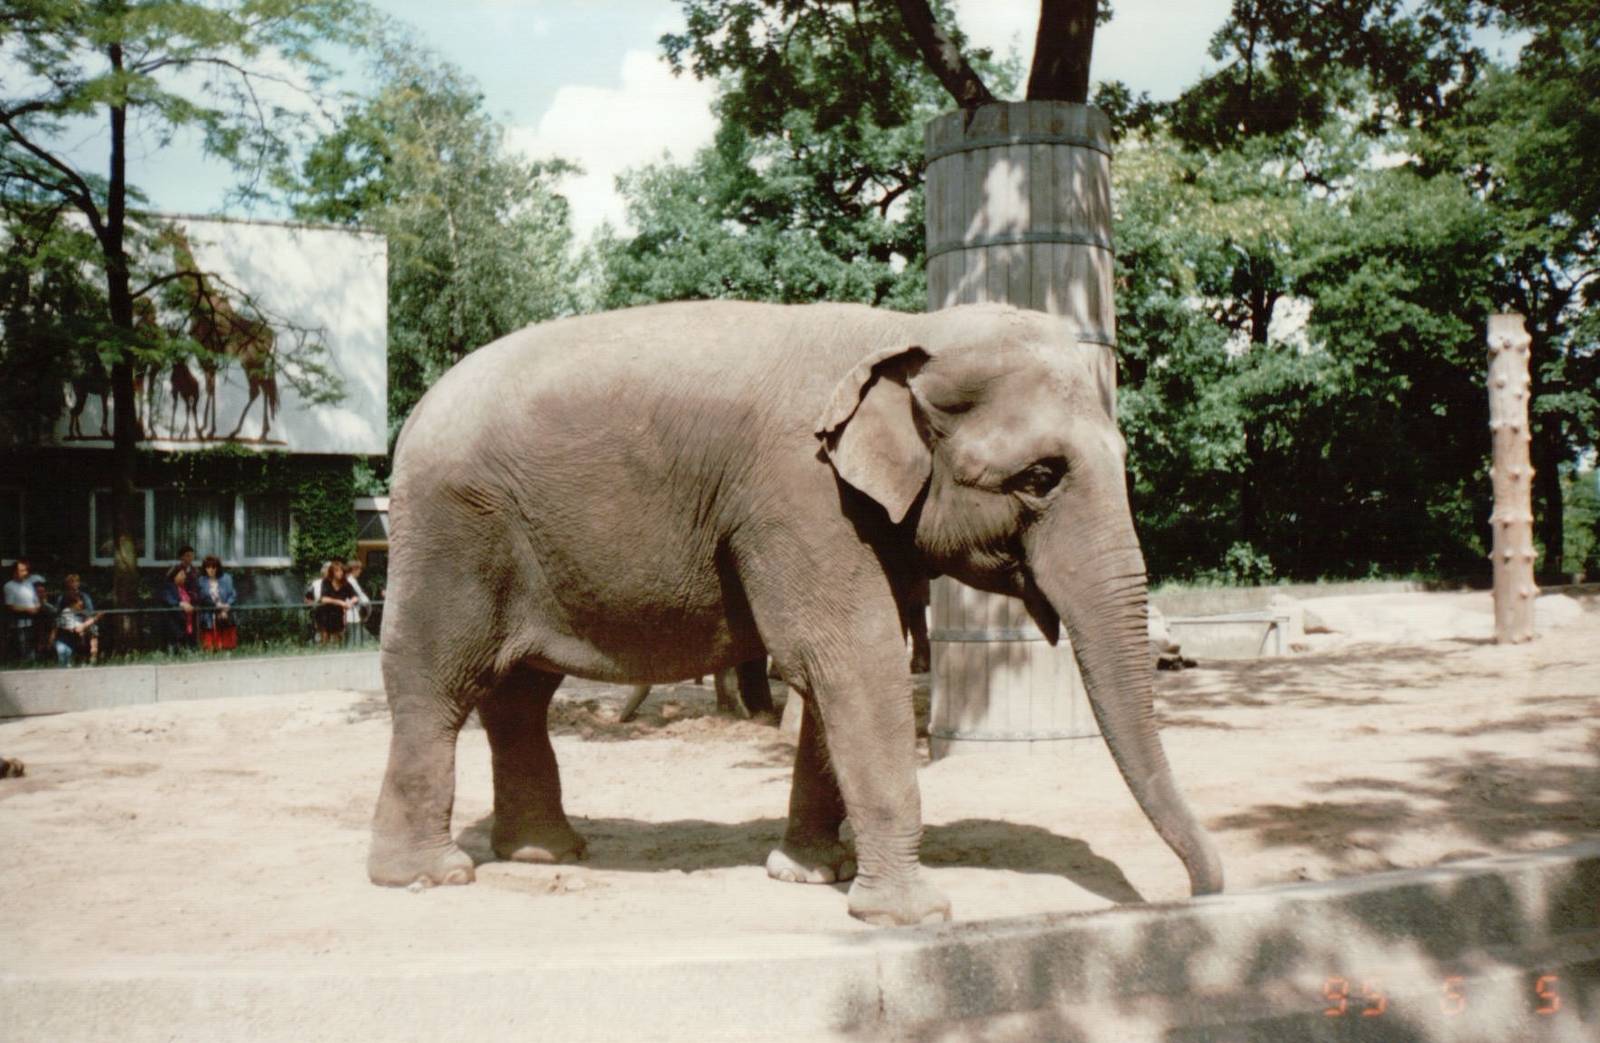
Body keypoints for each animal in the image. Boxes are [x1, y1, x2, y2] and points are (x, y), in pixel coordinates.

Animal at [368, 299, 1224, 926]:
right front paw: (914, 914)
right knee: (438, 685)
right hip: (451, 533)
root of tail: (412, 419)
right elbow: (850, 658)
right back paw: (429, 876)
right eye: (1042, 477)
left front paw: (812, 873)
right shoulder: (801, 493)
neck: (903, 330)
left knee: (519, 696)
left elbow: (838, 673)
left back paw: (544, 854)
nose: (1198, 892)